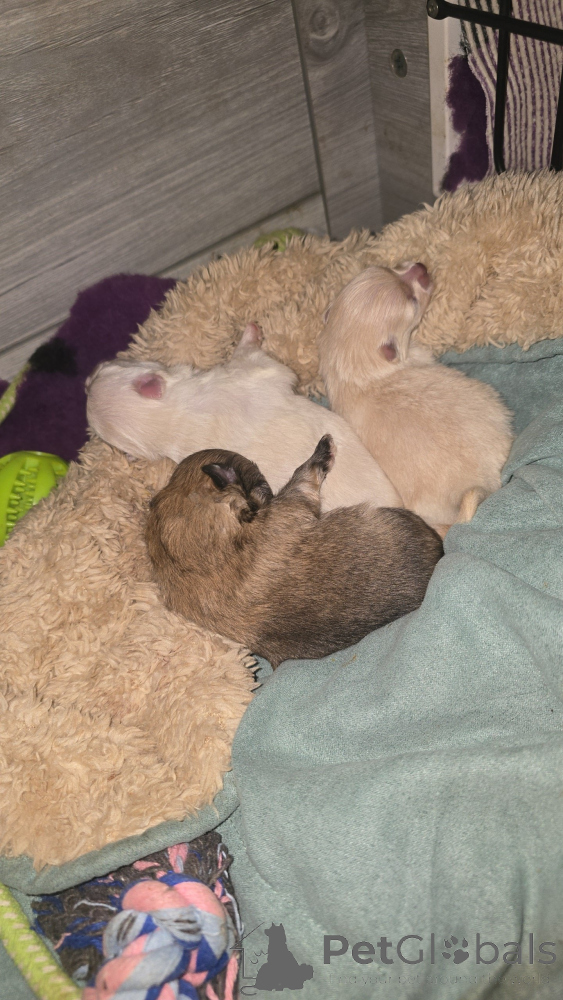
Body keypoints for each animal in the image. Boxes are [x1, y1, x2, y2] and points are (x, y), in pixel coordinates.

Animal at [86, 322, 402, 514]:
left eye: (103, 370)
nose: (85, 382)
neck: (173, 417)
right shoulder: (252, 373)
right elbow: (259, 358)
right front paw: (251, 332)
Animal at [318, 263, 514, 530]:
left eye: (388, 267)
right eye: (412, 300)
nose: (421, 266)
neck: (350, 359)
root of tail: (473, 484)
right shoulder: (420, 353)